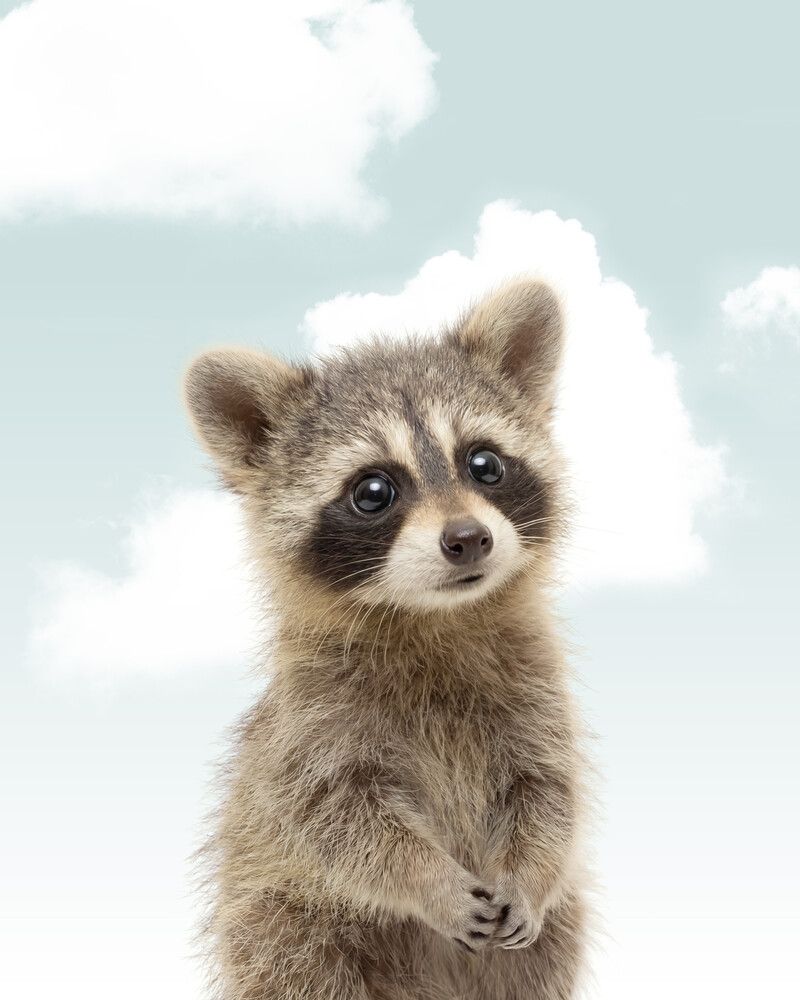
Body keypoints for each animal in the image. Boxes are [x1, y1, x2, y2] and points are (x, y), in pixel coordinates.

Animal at [183, 280, 590, 999]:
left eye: (484, 463)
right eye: (374, 490)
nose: (468, 539)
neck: (435, 617)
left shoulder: (537, 692)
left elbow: (548, 792)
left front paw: (530, 872)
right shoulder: (311, 725)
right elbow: (342, 823)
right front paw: (429, 881)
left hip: (552, 935)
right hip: (286, 924)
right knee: (298, 961)